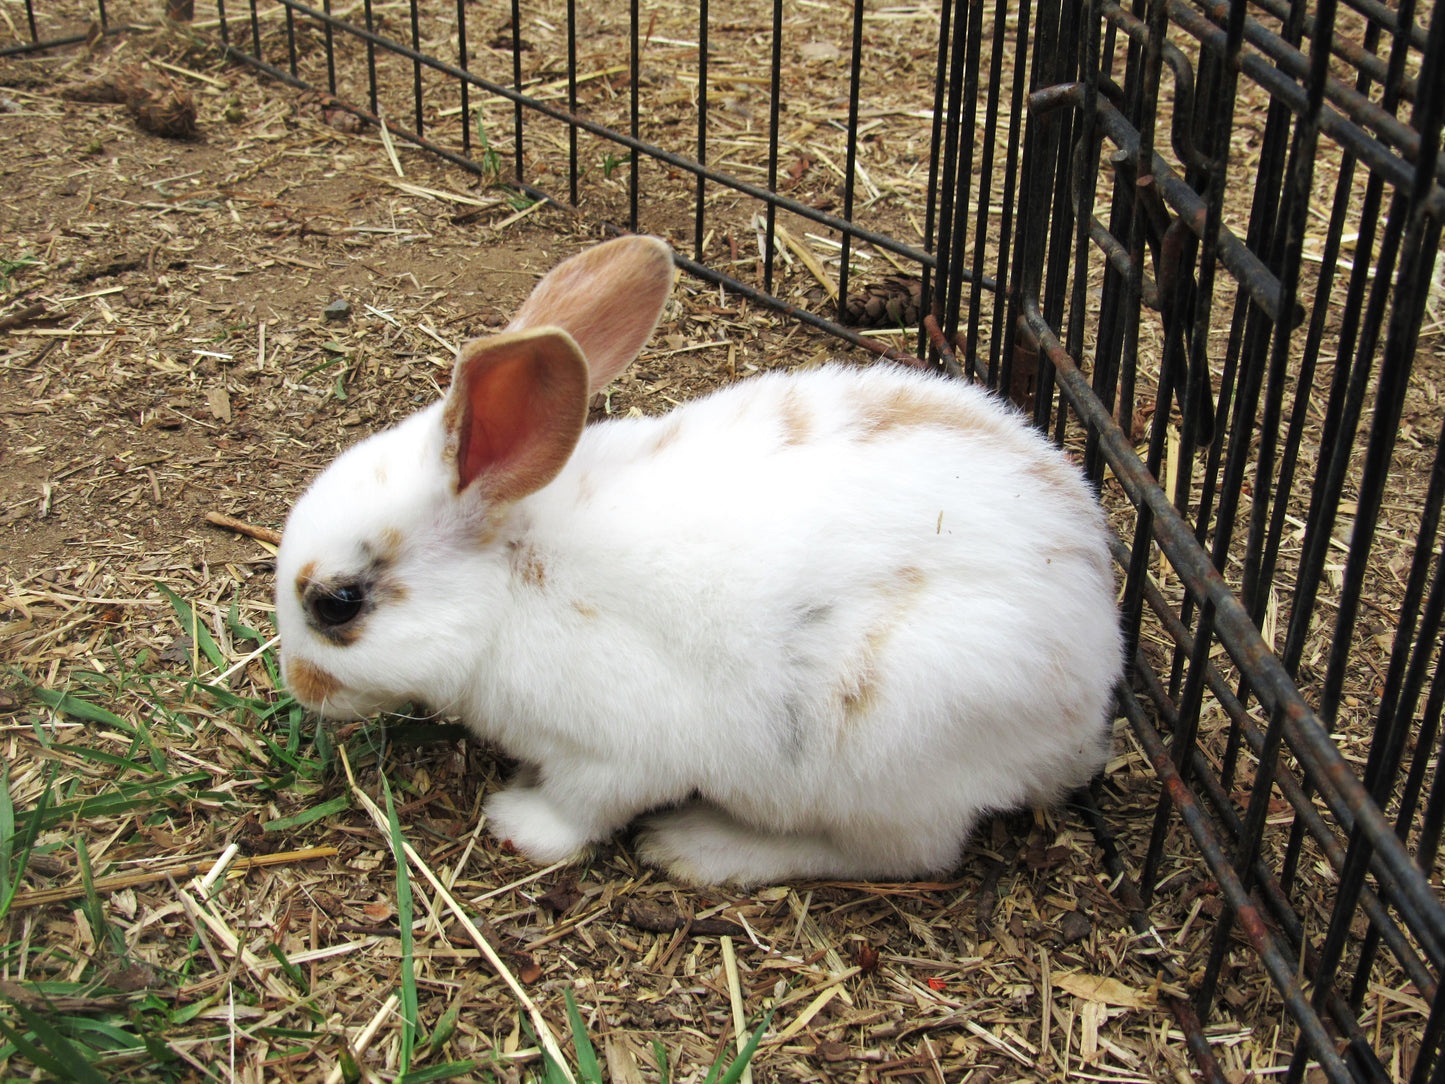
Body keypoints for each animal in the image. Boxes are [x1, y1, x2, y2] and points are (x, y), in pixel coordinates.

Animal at [275, 234, 1121, 884]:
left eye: (336, 604)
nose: (298, 685)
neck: (512, 578)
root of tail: (1092, 689)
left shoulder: (611, 752)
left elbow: (581, 811)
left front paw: (517, 820)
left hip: (891, 759)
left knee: (901, 856)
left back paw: (700, 846)